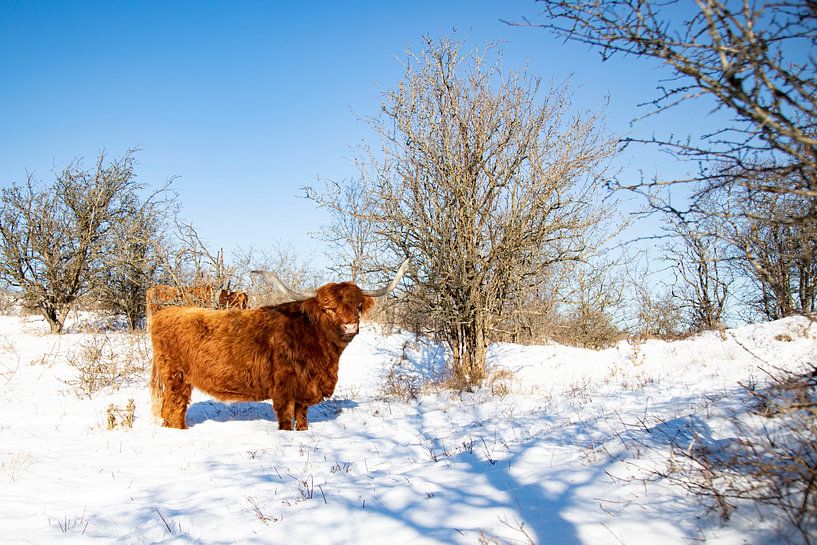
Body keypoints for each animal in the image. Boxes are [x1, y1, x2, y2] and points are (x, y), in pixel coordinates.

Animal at [149, 260, 408, 430]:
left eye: (357, 306)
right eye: (328, 308)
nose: (350, 327)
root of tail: (165, 312)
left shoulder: (304, 392)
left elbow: (302, 421)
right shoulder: (284, 391)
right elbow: (285, 422)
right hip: (177, 379)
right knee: (175, 410)